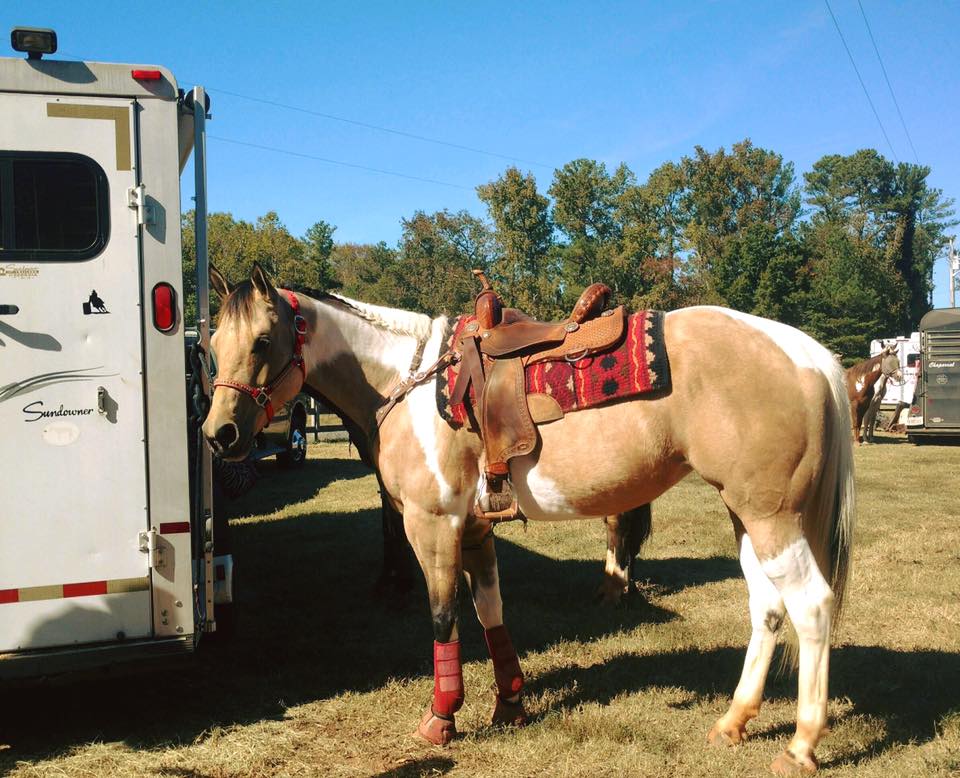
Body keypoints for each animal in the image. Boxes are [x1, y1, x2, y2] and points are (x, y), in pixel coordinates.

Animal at [202, 264, 856, 772]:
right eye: (210, 346)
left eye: (262, 341)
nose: (219, 434)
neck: (405, 384)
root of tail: (808, 354)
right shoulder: (474, 528)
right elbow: (491, 612)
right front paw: (510, 704)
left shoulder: (431, 525)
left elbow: (443, 617)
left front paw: (441, 718)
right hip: (748, 516)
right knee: (767, 609)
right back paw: (733, 721)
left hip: (772, 517)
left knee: (811, 606)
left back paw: (801, 745)